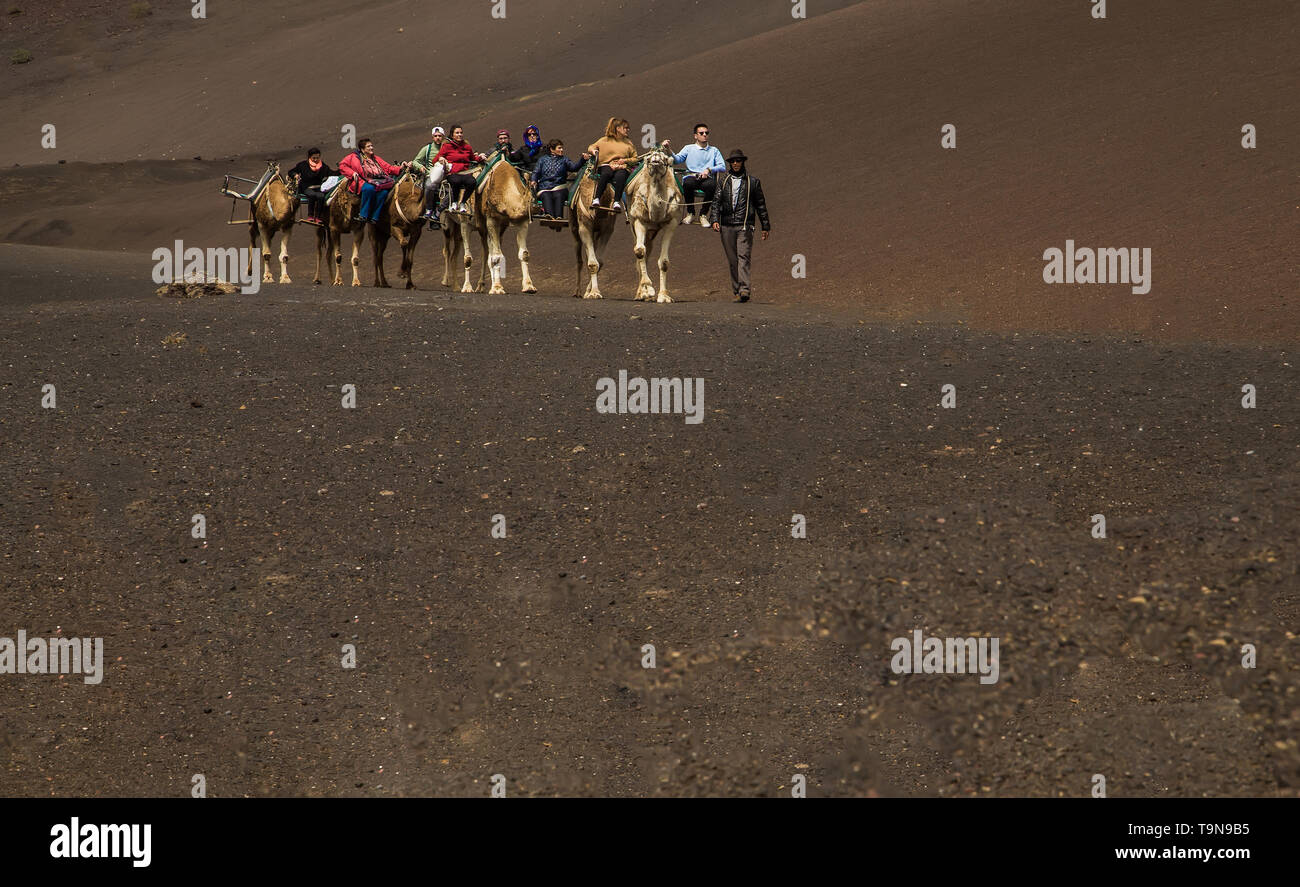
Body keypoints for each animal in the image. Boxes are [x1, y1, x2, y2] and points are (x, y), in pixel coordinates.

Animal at [621, 146, 686, 301]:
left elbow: (664, 262)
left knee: (648, 249)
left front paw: (664, 296)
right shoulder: (639, 219)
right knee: (641, 250)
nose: (656, 156)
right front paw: (647, 289)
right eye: (649, 159)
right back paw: (641, 293)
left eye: (665, 159)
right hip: (633, 222)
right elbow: (639, 251)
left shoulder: (671, 223)